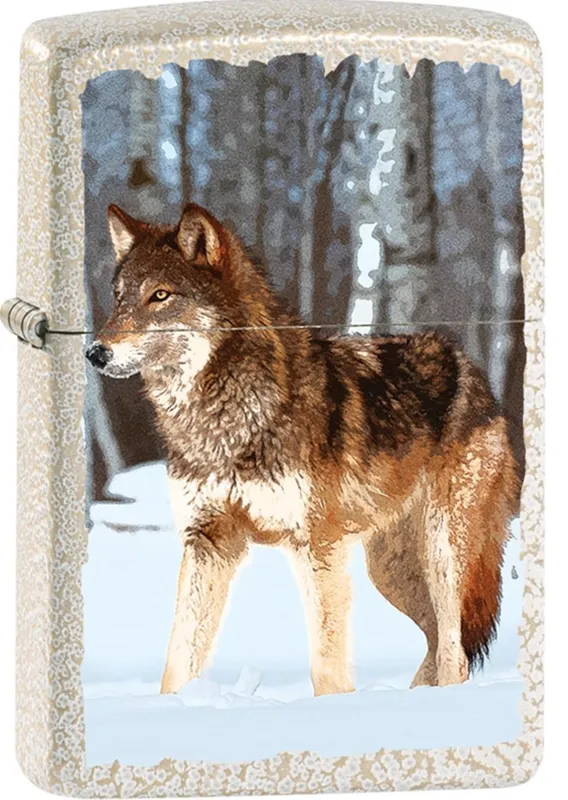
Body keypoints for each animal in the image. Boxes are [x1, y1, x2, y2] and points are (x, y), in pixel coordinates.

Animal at [86, 203, 519, 696]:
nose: (95, 352)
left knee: (453, 651)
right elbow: (178, 657)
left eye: (160, 295)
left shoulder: (316, 546)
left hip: (443, 555)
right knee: (437, 643)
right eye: (119, 298)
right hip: (390, 572)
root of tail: (472, 368)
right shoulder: (208, 542)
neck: (228, 419)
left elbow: (327, 664)